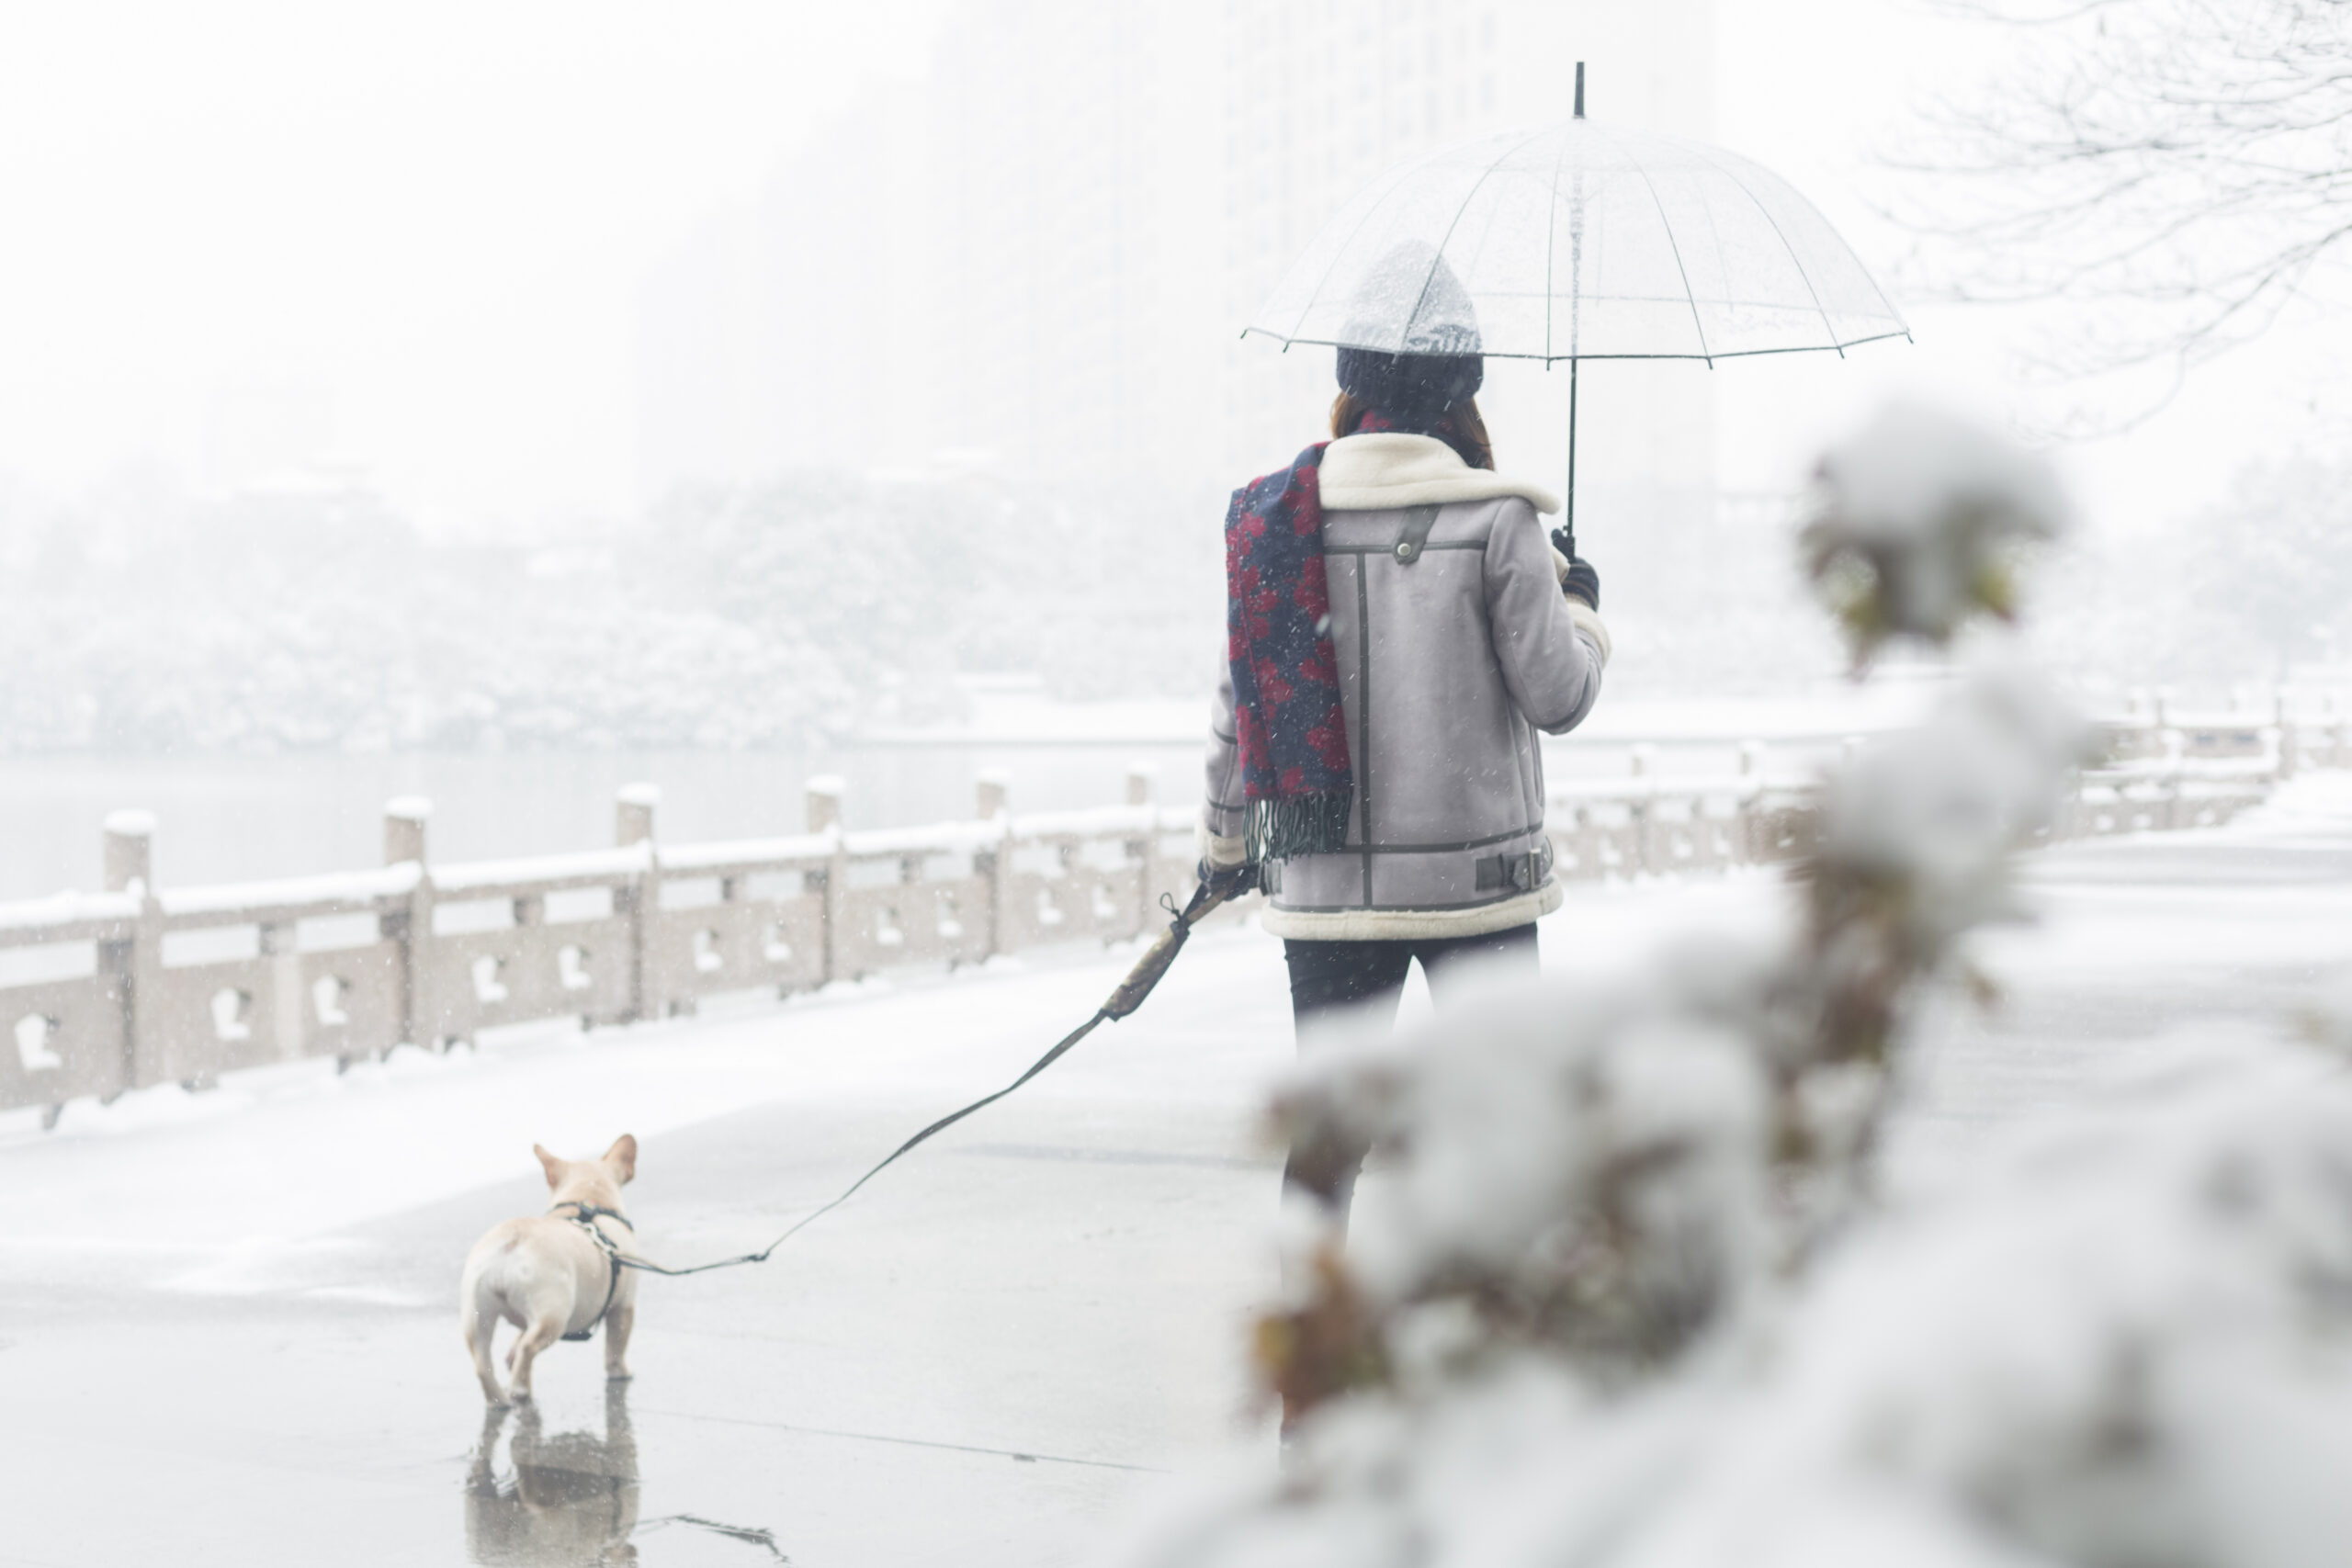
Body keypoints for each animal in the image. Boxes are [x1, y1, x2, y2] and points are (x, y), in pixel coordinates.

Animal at [463, 1133, 644, 1401]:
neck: (584, 1196)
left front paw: (510, 1354)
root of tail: (512, 1242)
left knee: (483, 1361)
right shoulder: (623, 1306)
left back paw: (499, 1400)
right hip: (554, 1314)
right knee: (529, 1347)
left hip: (478, 1314)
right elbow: (616, 1346)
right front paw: (620, 1372)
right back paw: (519, 1390)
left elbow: (519, 1335)